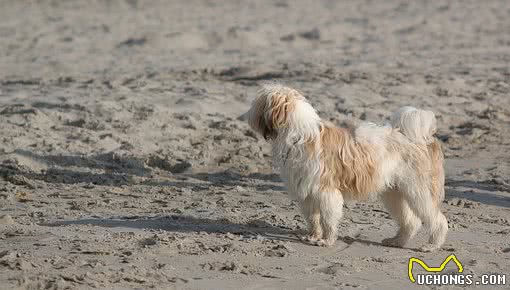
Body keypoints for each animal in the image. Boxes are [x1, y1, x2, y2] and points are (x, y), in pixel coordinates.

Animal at [245, 84, 448, 251]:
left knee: (438, 220)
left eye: (258, 103)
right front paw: (313, 237)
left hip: (418, 190)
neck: (299, 134)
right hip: (394, 193)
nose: (247, 114)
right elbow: (313, 218)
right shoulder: (307, 194)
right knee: (411, 221)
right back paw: (396, 241)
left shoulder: (325, 192)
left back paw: (432, 245)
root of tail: (420, 138)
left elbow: (328, 219)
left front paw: (326, 241)